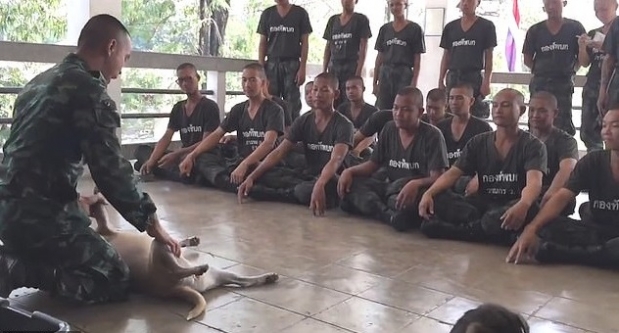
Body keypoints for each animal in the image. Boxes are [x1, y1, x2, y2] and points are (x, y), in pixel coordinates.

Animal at [79, 189, 278, 320]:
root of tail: (175, 289)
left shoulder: (107, 226)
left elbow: (176, 242)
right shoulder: (107, 227)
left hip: (214, 273)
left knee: (244, 282)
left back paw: (267, 277)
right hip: (160, 248)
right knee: (176, 269)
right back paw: (199, 267)